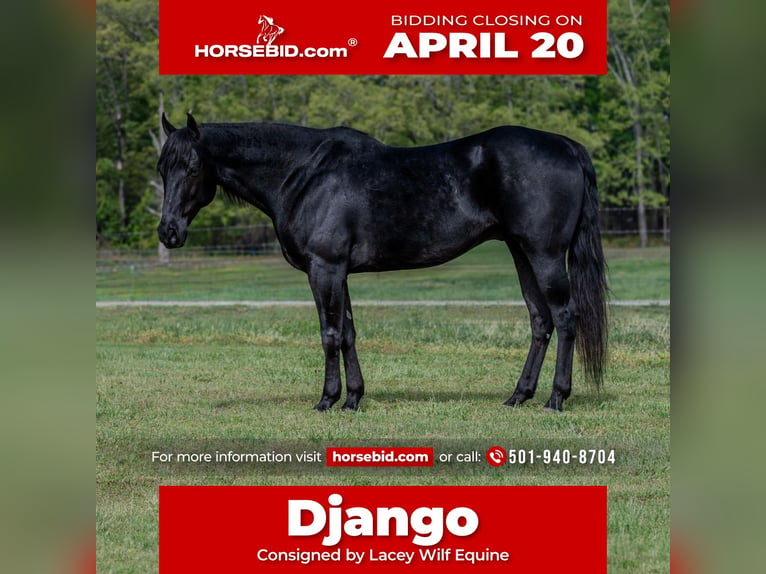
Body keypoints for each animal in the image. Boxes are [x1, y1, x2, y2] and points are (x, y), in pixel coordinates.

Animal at [157, 113, 608, 412]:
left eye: (192, 167)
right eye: (162, 168)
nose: (168, 232)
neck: (304, 173)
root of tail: (568, 146)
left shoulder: (324, 268)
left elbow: (329, 334)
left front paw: (327, 400)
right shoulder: (339, 273)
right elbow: (349, 333)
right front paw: (353, 398)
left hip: (544, 254)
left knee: (565, 317)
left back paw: (556, 398)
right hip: (521, 253)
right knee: (540, 320)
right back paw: (518, 395)